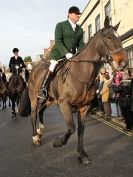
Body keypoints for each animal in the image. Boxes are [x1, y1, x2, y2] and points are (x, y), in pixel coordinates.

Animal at [18, 17, 128, 164]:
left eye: (119, 37)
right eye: (108, 37)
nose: (123, 62)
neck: (82, 73)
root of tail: (33, 70)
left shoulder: (84, 107)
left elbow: (81, 130)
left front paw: (82, 155)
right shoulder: (65, 104)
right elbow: (71, 128)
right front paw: (58, 142)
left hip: (49, 100)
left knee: (40, 112)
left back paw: (40, 133)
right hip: (35, 98)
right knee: (33, 114)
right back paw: (35, 137)